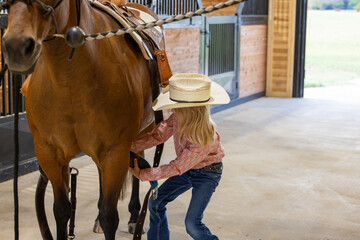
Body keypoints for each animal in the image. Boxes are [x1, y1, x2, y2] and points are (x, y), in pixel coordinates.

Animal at [1, 0, 164, 238]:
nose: (16, 47)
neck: (69, 79)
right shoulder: (49, 153)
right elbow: (61, 210)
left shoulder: (115, 152)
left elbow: (109, 217)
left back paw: (135, 217)